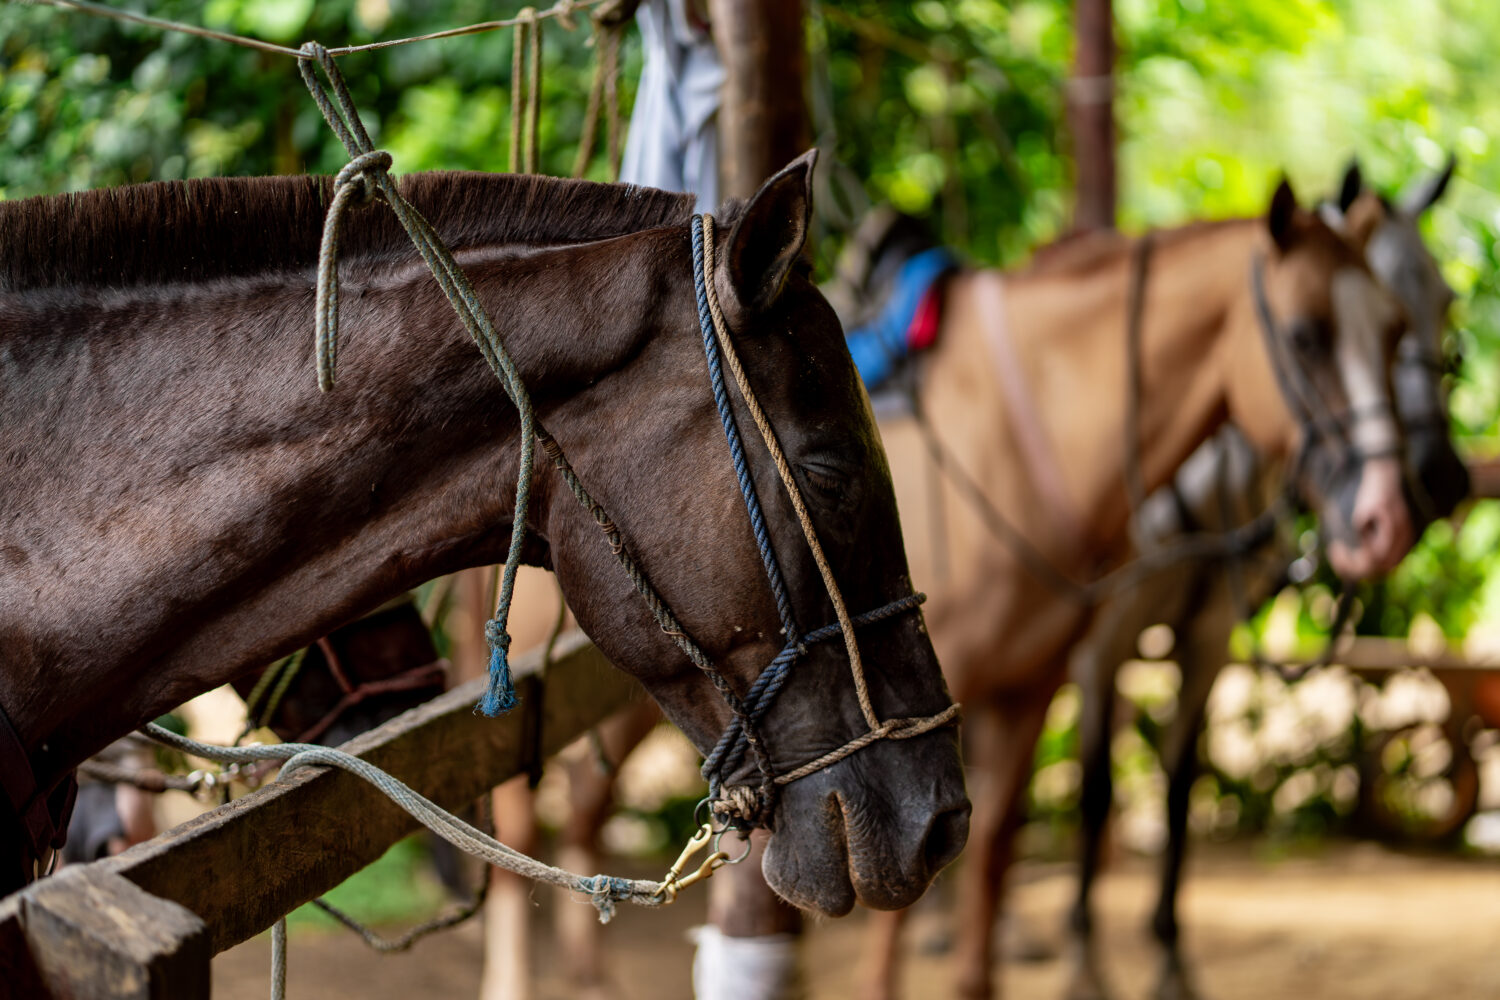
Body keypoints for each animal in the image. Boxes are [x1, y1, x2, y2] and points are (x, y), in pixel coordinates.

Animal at [1064, 157, 1468, 1000]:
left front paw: (1171, 956)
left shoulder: (1210, 639)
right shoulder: (1099, 646)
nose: (1442, 477)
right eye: (1312, 336)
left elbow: (1179, 787)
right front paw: (1083, 958)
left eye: (1442, 300)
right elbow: (1095, 793)